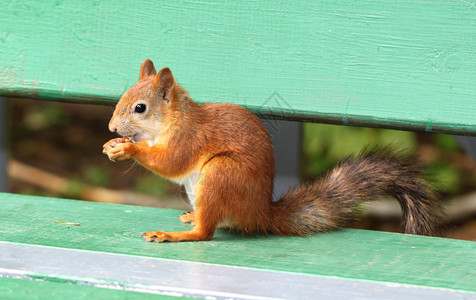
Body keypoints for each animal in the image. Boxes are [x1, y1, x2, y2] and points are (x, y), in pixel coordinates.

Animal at [102, 59, 440, 244]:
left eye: (140, 108)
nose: (111, 127)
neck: (173, 119)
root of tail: (261, 214)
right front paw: (112, 146)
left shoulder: (191, 138)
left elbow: (171, 162)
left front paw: (128, 148)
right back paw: (192, 216)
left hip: (222, 173)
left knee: (206, 233)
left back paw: (179, 234)